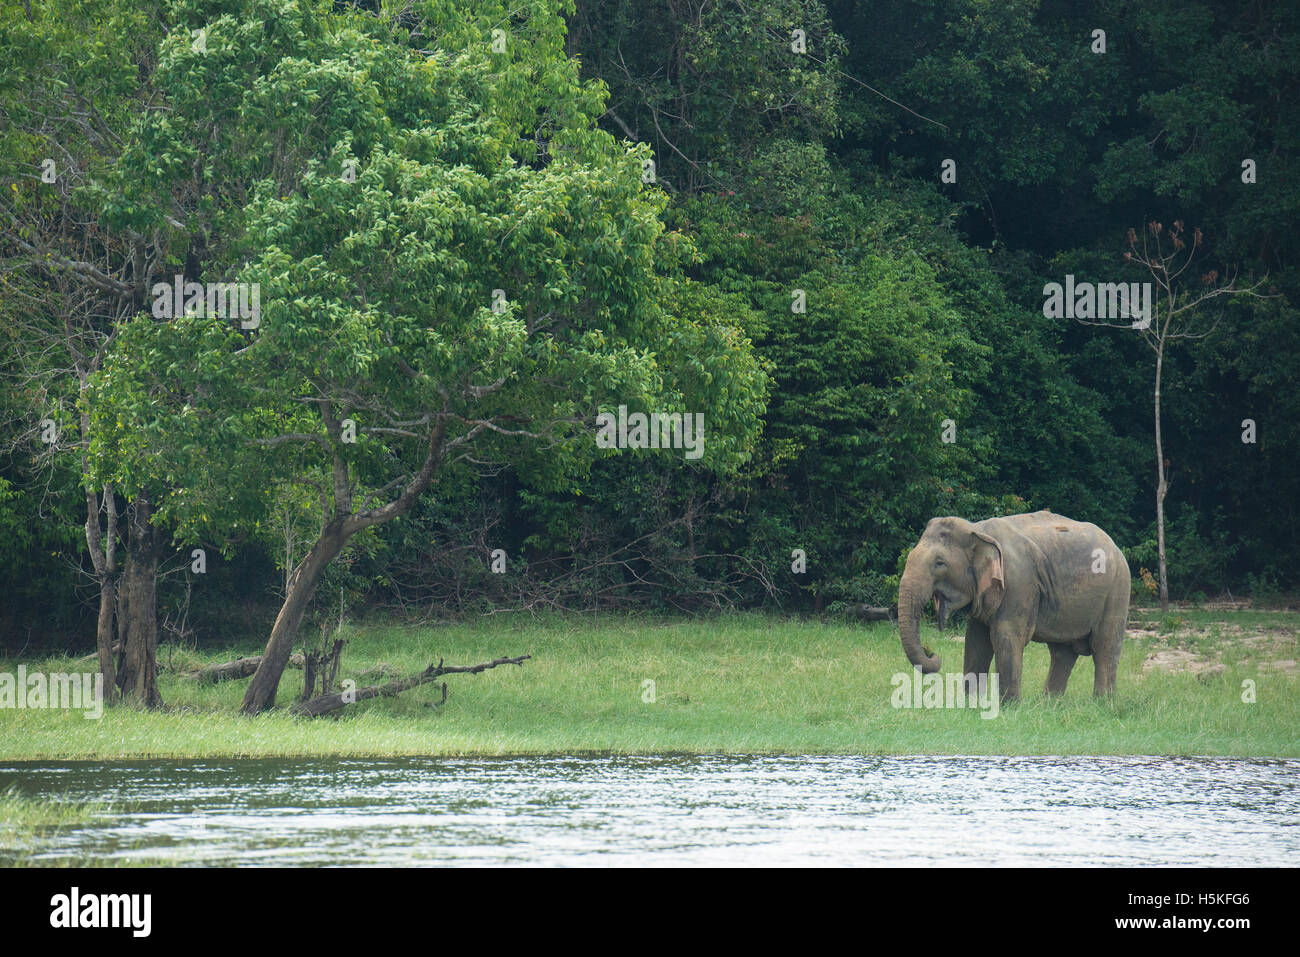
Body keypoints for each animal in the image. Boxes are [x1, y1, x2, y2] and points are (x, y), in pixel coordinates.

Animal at [897, 510, 1130, 700]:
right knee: (1062, 652)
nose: (932, 652)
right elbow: (976, 640)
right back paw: (1050, 704)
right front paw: (970, 704)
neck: (978, 529)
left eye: (940, 563)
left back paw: (1102, 703)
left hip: (1118, 590)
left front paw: (1009, 707)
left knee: (1105, 647)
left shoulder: (1018, 582)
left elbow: (1006, 636)